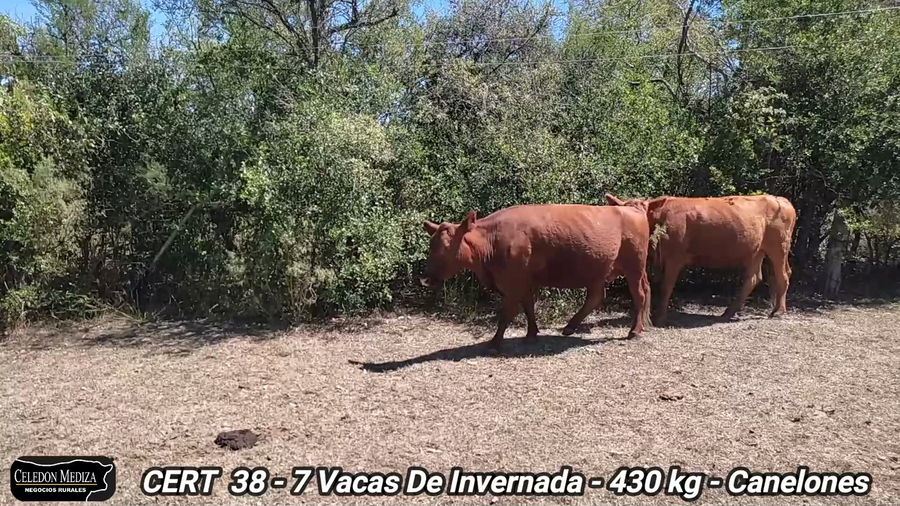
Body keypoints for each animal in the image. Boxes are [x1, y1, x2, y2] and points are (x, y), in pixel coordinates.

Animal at [420, 204, 652, 349]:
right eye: (431, 245)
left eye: (446, 247)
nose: (426, 278)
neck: (492, 239)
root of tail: (631, 208)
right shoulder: (523, 281)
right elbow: (529, 307)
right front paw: (531, 333)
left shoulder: (513, 283)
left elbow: (507, 313)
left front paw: (494, 343)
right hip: (599, 272)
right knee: (596, 297)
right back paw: (569, 327)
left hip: (634, 268)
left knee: (639, 295)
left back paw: (635, 330)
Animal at [604, 193, 797, 325]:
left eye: (644, 212)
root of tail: (780, 199)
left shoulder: (675, 257)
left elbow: (666, 287)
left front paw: (660, 317)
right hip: (757, 250)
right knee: (754, 278)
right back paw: (728, 313)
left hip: (778, 246)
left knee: (783, 275)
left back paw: (778, 311)